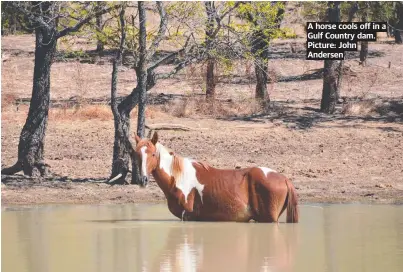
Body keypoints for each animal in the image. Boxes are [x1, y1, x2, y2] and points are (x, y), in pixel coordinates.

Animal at [130, 132, 300, 223]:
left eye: (153, 154)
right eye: (136, 154)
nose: (143, 180)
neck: (178, 178)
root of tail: (284, 179)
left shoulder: (189, 217)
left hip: (268, 219)